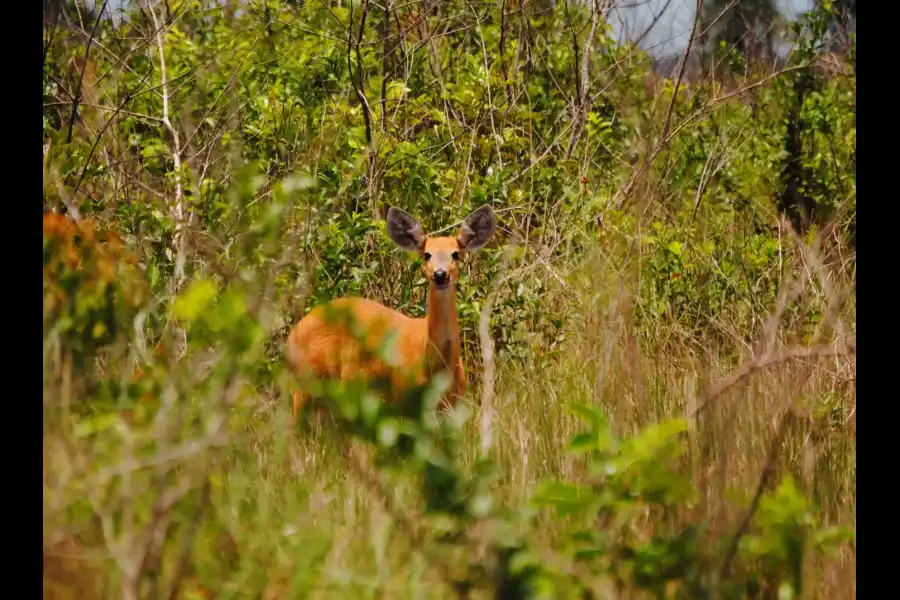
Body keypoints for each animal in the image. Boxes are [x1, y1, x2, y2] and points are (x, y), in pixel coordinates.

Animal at [286, 204, 496, 424]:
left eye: (455, 254)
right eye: (426, 254)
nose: (440, 275)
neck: (439, 367)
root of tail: (292, 335)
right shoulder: (401, 400)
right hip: (305, 382)